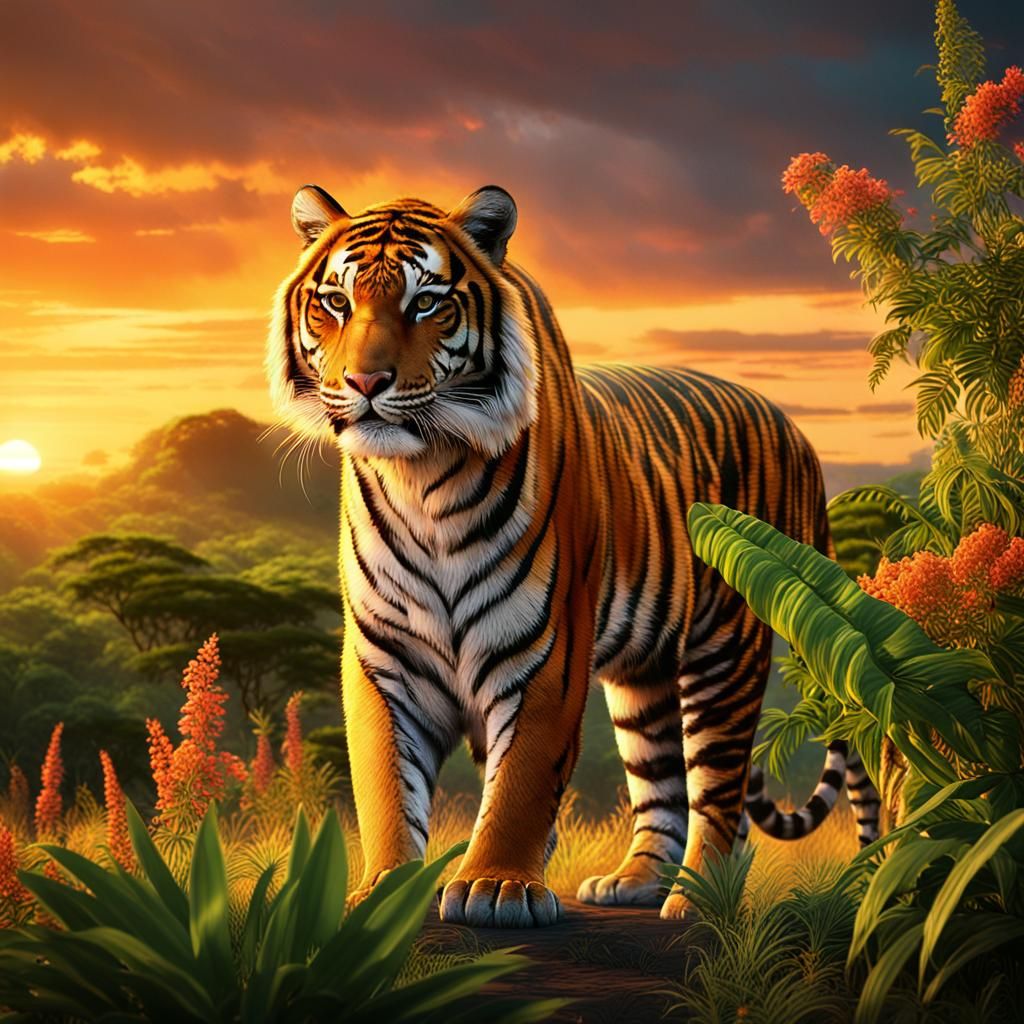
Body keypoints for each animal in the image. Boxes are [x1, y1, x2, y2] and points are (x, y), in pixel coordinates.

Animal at [266, 182, 876, 927]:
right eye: (335, 302)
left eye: (427, 303)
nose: (365, 381)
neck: (422, 478)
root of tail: (797, 434)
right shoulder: (385, 655)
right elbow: (384, 777)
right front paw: (384, 890)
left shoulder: (544, 649)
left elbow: (522, 778)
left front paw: (495, 886)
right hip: (644, 679)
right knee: (662, 783)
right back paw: (638, 881)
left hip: (726, 652)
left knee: (719, 791)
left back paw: (696, 899)